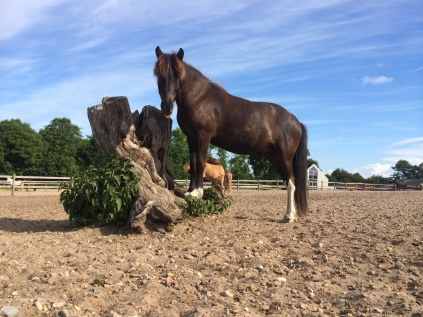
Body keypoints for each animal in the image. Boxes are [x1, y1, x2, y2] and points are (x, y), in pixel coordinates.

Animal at [155, 47, 308, 221]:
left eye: (177, 74)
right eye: (158, 73)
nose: (167, 107)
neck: (200, 98)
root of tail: (297, 122)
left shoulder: (203, 137)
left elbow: (200, 164)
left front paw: (197, 193)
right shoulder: (191, 138)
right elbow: (193, 164)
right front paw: (190, 192)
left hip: (285, 157)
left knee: (292, 183)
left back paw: (290, 216)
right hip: (275, 157)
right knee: (288, 182)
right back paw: (287, 214)